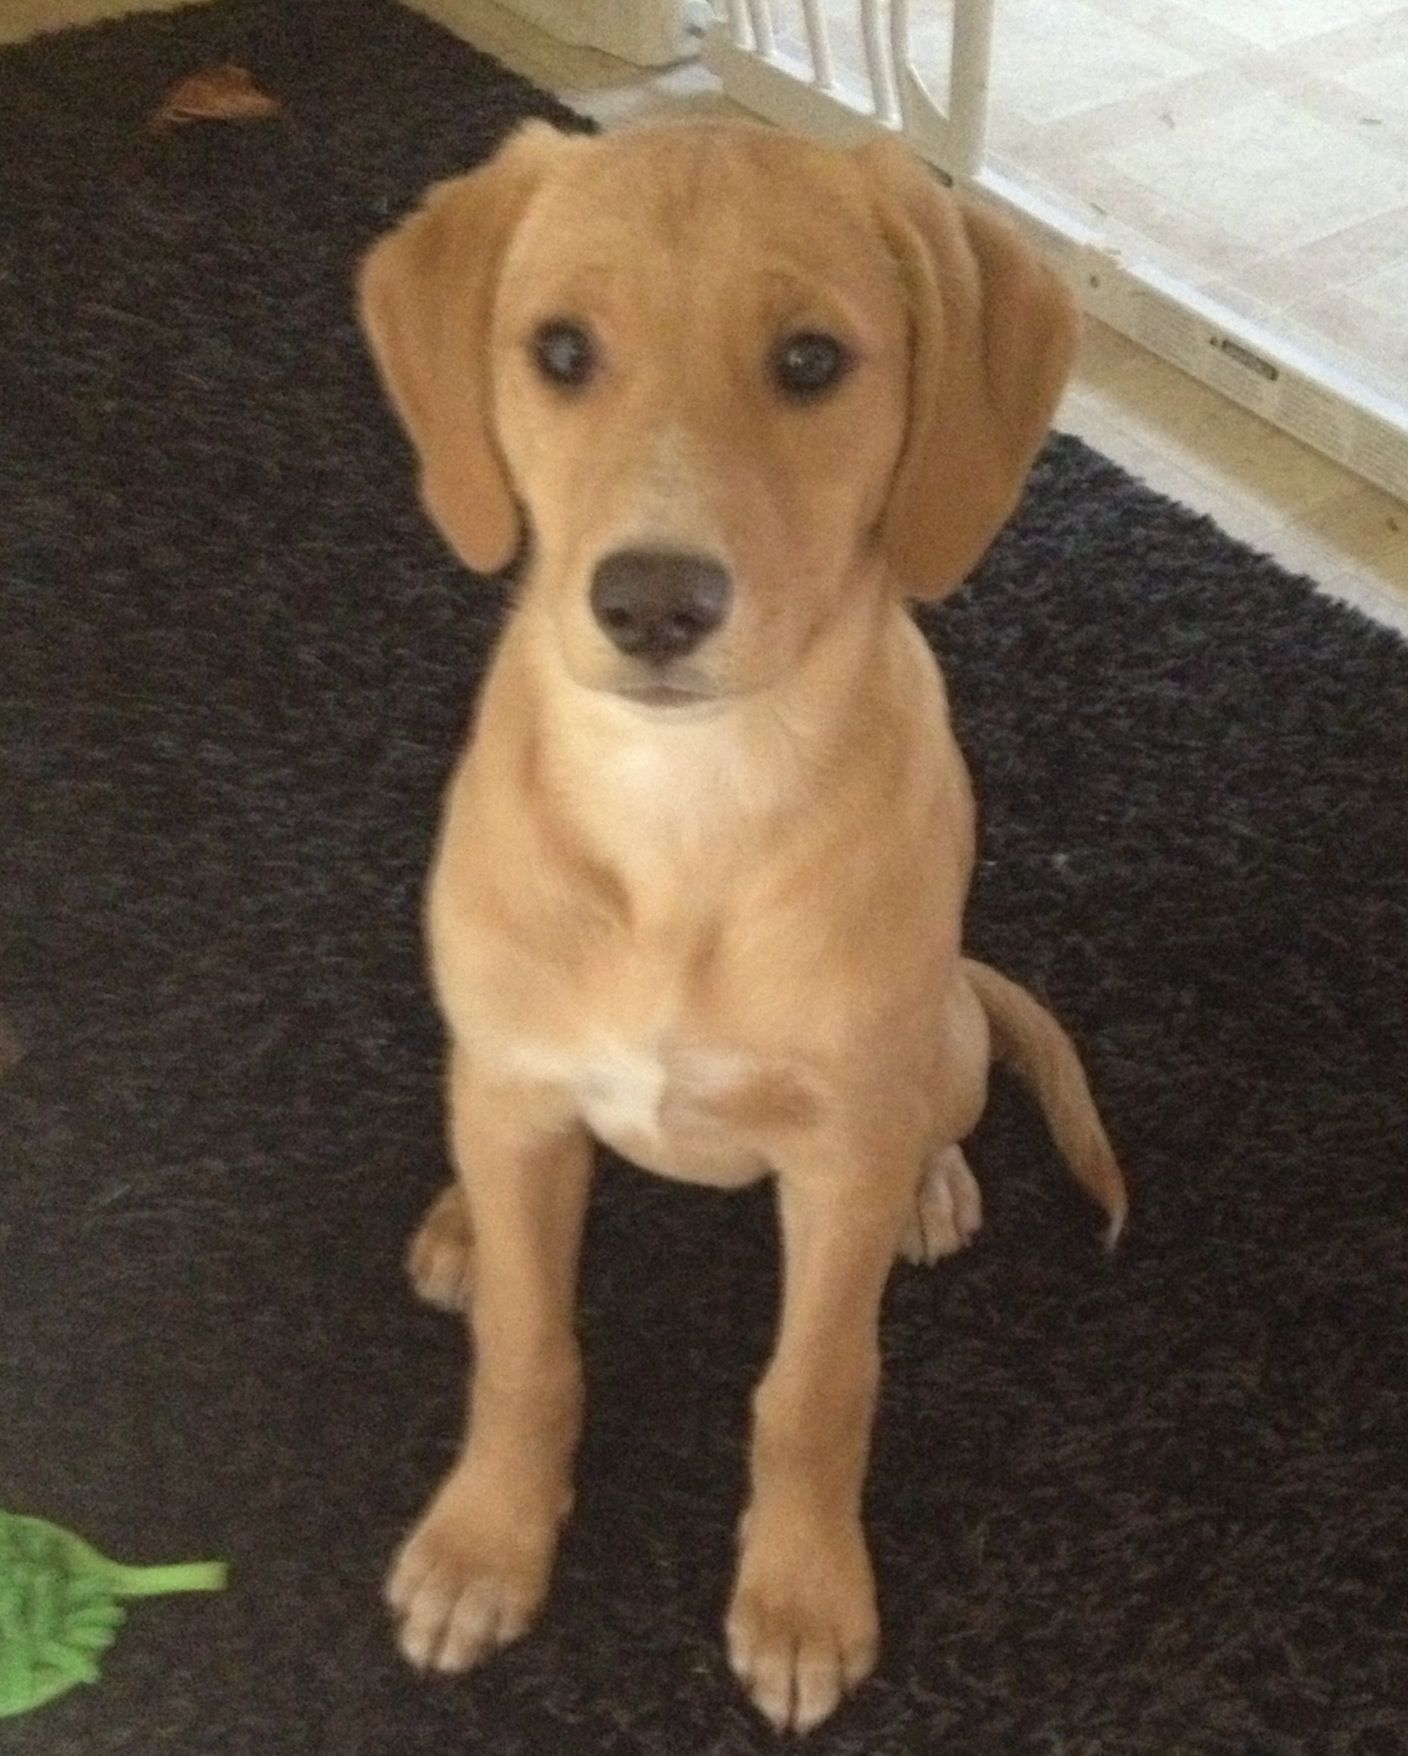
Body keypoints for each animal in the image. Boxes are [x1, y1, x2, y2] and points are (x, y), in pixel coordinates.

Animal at [356, 120, 1123, 1727]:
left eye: (813, 361)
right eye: (561, 351)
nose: (654, 604)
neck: (686, 810)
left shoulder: (833, 1162)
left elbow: (815, 1392)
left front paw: (801, 1594)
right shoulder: (524, 1093)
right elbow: (527, 1349)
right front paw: (484, 1544)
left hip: (934, 1046)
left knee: (936, 1112)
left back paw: (934, 1186)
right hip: (498, 1082)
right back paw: (461, 1222)